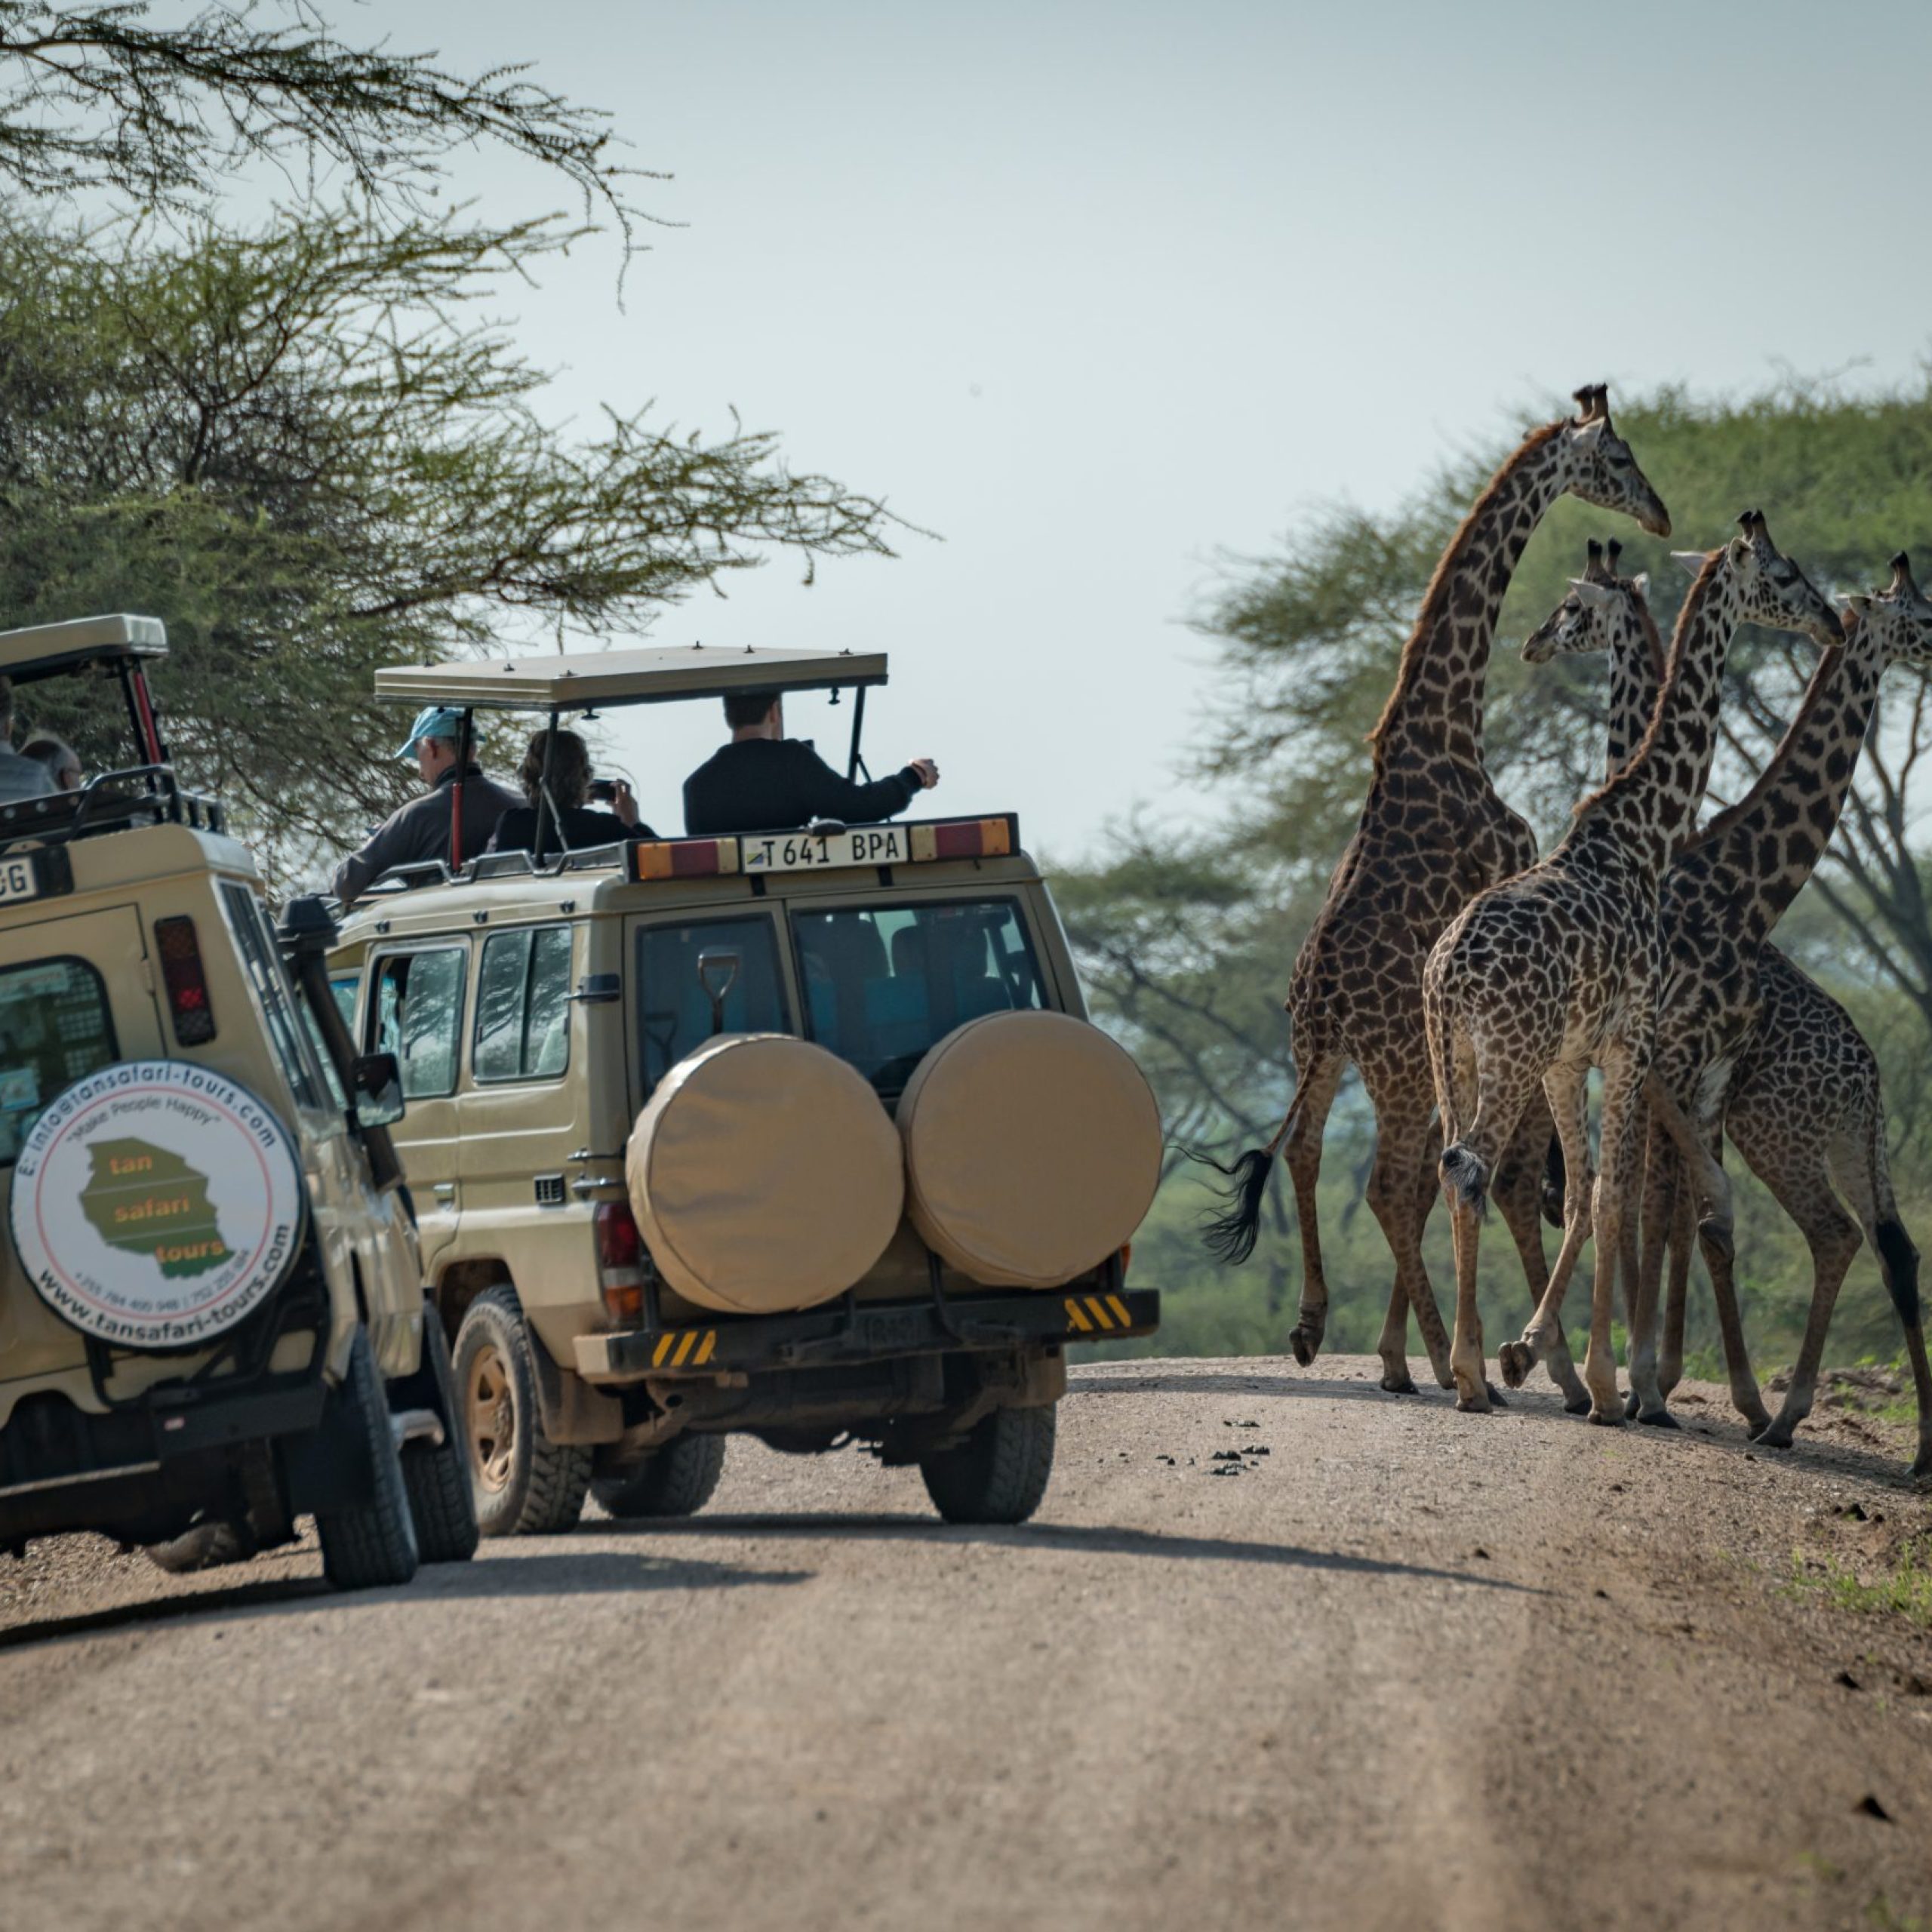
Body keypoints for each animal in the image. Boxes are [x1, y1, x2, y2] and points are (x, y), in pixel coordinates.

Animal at [1201, 387, 1670, 1401]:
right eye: (1616, 458)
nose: (1657, 514)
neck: (1447, 719)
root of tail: (1326, 998)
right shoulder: (1510, 860)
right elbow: (1486, 1171)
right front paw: (1500, 1352)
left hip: (1322, 1053)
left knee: (1316, 1153)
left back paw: (1328, 1330)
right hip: (1400, 1060)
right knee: (1400, 1177)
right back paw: (1450, 1359)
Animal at [1428, 512, 1840, 1419]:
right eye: (1784, 576)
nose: (1832, 620)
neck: (1641, 834)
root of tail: (1445, 975)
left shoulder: (1572, 1056)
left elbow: (1590, 1191)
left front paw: (1565, 1363)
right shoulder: (1631, 1041)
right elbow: (1617, 1194)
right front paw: (1607, 1385)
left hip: (1456, 1056)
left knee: (1450, 1165)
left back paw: (1475, 1368)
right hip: (1508, 1057)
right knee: (1474, 1167)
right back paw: (1475, 1374)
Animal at [1521, 544, 1932, 1475]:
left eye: (1571, 605)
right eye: (1922, 617)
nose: (1532, 641)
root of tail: (1869, 1079)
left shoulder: (1686, 1069)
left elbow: (1668, 1207)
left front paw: (1655, 1383)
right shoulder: (1672, 1064)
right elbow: (1663, 1205)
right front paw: (1650, 1381)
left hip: (1798, 1135)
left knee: (1857, 1238)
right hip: (1804, 1134)